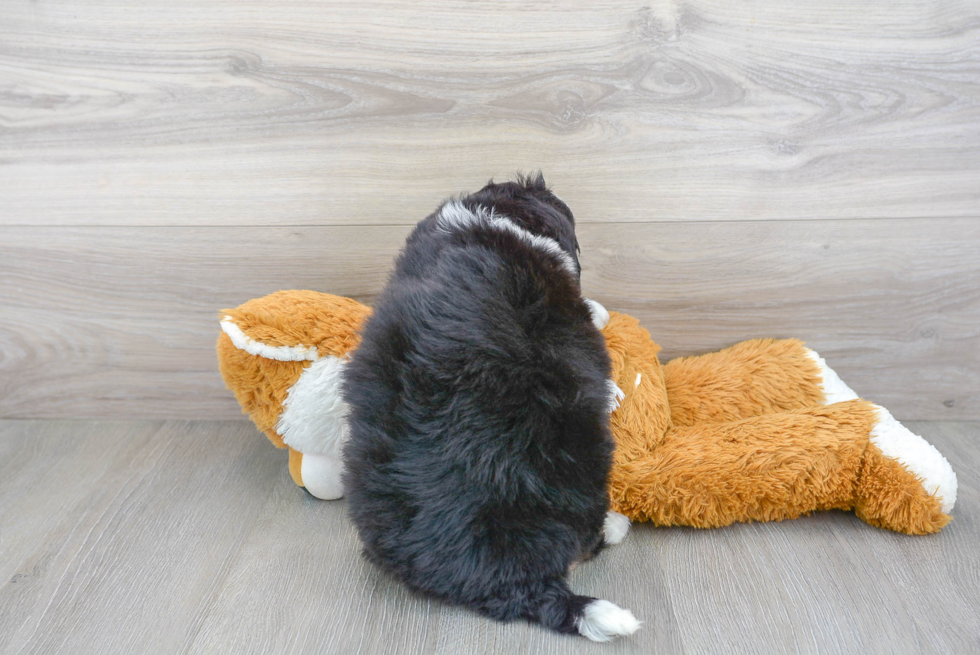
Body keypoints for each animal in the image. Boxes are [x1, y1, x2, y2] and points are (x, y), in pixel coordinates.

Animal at [340, 173, 640, 640]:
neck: (497, 218)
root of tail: (506, 582)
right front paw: (600, 315)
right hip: (582, 459)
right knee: (585, 539)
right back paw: (615, 524)